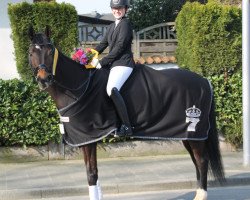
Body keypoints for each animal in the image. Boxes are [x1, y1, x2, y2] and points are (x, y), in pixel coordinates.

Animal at [27, 27, 225, 200]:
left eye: (50, 50)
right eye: (30, 52)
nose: (44, 79)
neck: (80, 87)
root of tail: (204, 80)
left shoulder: (89, 139)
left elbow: (91, 174)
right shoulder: (87, 139)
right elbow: (94, 174)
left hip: (195, 133)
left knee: (202, 161)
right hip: (186, 135)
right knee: (196, 162)